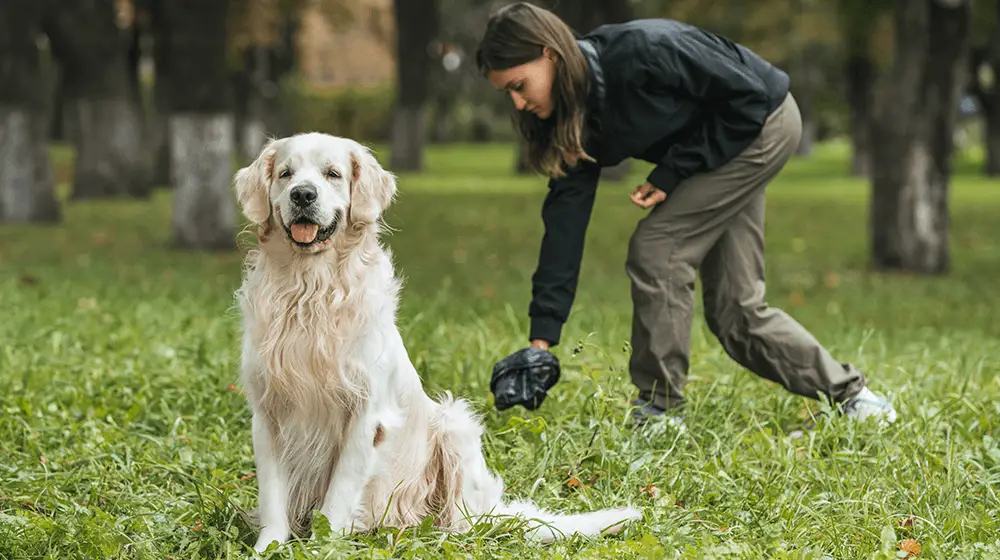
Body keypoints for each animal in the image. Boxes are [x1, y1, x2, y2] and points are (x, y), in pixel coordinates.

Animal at [231, 133, 644, 552]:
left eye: (333, 174)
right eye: (286, 174)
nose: (302, 195)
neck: (310, 290)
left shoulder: (366, 414)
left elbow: (337, 499)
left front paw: (320, 547)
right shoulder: (267, 412)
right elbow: (273, 498)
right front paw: (268, 548)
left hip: (454, 425)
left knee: (466, 521)